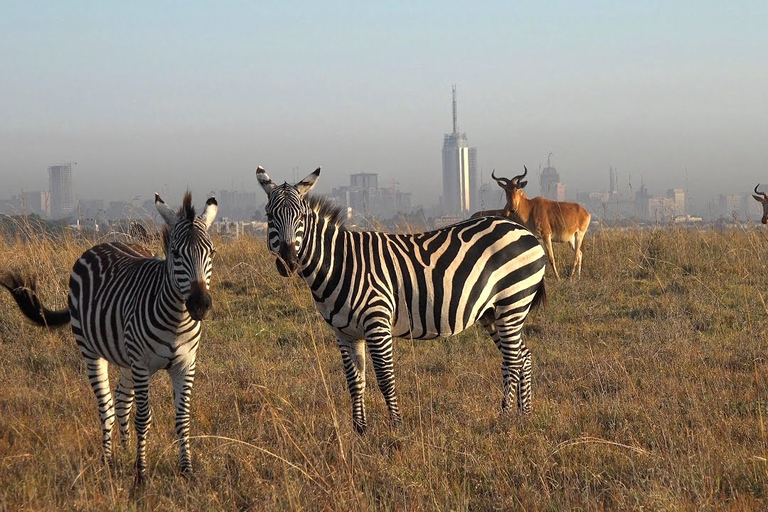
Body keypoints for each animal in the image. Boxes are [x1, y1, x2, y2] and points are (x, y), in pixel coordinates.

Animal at [1, 192, 218, 484]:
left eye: (211, 252)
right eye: (175, 253)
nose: (200, 305)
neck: (177, 319)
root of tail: (105, 242)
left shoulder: (185, 364)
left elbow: (182, 417)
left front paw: (186, 470)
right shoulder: (141, 364)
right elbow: (143, 418)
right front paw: (141, 474)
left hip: (126, 358)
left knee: (122, 400)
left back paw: (125, 453)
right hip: (93, 352)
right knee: (107, 407)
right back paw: (109, 461)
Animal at [256, 166, 544, 434]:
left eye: (302, 217)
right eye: (269, 216)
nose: (288, 263)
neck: (341, 263)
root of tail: (523, 231)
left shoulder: (377, 322)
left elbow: (385, 378)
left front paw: (396, 427)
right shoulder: (345, 333)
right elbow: (355, 381)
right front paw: (359, 431)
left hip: (512, 302)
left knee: (512, 360)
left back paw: (504, 417)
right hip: (492, 312)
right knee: (523, 355)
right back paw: (524, 415)